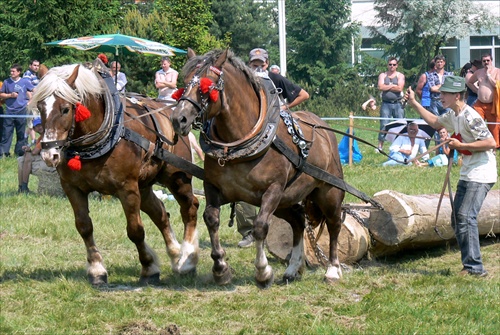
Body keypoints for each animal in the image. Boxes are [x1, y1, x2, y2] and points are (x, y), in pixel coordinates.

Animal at [29, 63, 199, 286]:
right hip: (144, 186)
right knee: (160, 213)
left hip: (177, 178)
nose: (50, 155)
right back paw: (175, 253)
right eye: (40, 107)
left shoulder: (127, 188)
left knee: (190, 208)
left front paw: (148, 268)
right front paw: (96, 269)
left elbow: (135, 230)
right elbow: (84, 226)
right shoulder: (71, 187)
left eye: (65, 109)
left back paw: (187, 259)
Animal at [170, 50, 346, 288]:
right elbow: (211, 218)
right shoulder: (214, 187)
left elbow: (261, 226)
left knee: (334, 223)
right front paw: (221, 268)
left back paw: (333, 270)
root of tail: (323, 128)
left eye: (207, 86)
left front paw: (263, 271)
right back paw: (293, 268)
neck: (236, 144)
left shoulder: (273, 190)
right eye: (184, 83)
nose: (178, 119)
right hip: (286, 200)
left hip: (328, 191)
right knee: (298, 221)